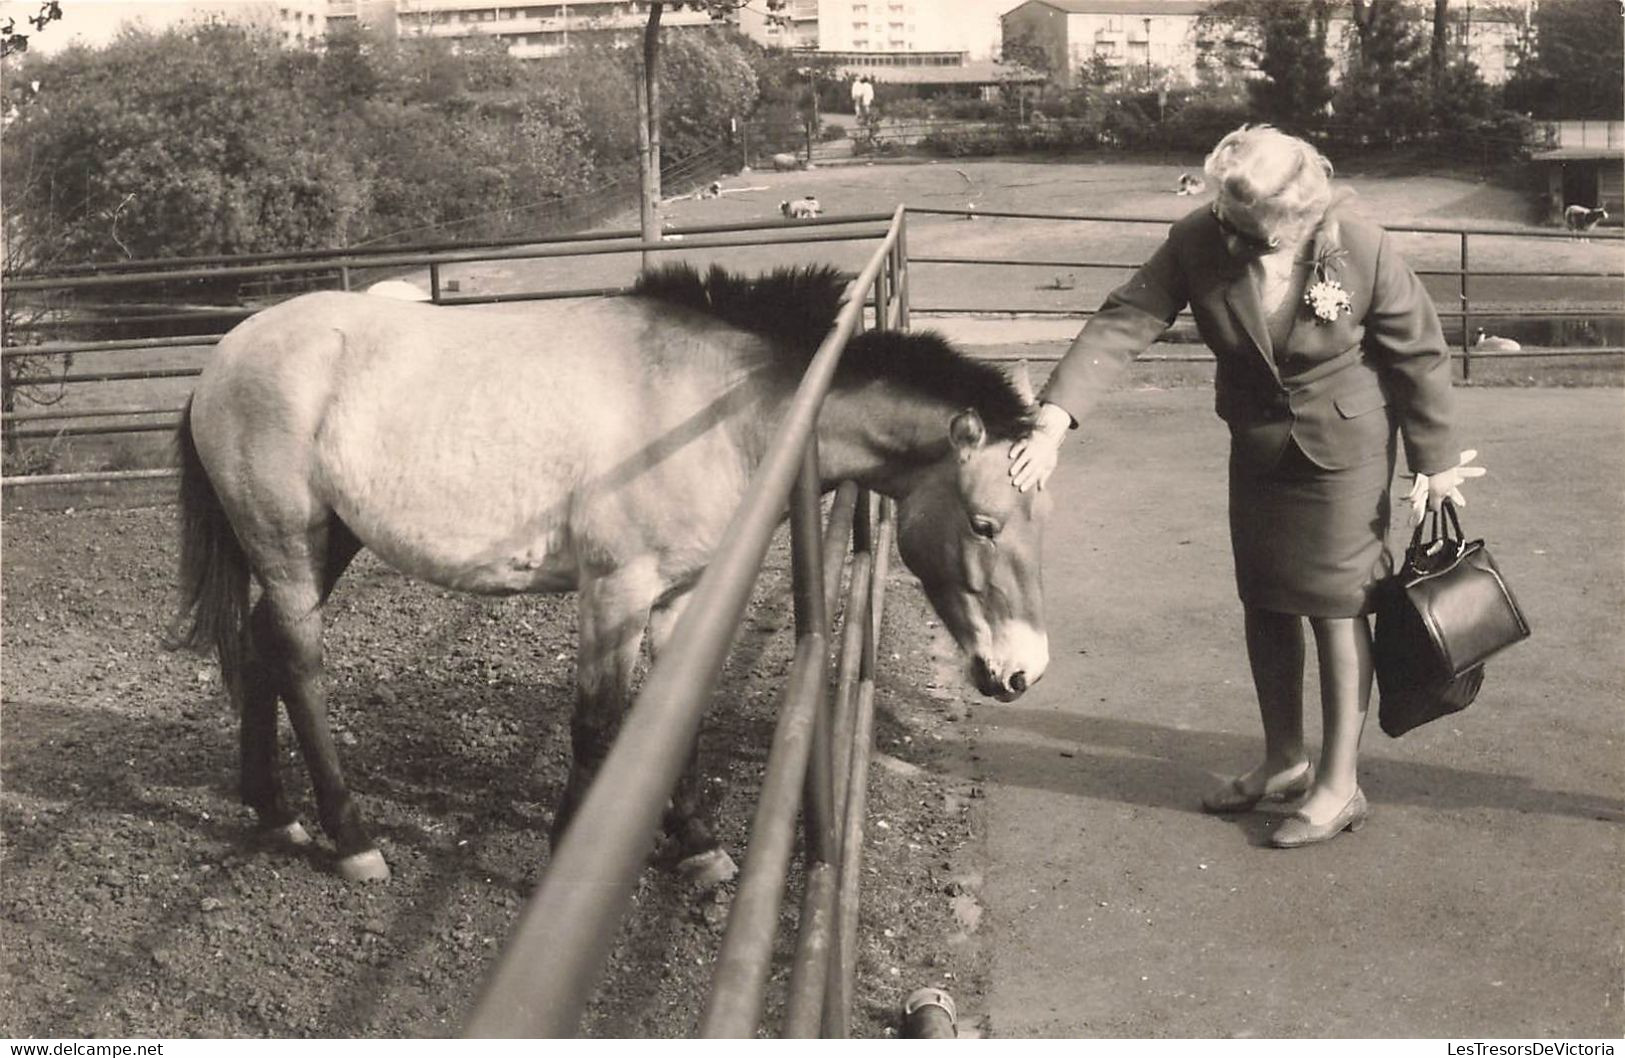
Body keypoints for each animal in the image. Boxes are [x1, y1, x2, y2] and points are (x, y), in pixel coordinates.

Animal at [168, 264, 1053, 884]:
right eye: (984, 524)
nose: (1022, 672)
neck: (721, 409)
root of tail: (223, 358)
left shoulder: (680, 596)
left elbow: (674, 714)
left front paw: (696, 848)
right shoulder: (615, 590)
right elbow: (595, 722)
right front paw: (573, 851)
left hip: (328, 546)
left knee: (260, 647)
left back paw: (273, 813)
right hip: (287, 546)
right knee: (298, 663)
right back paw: (351, 840)